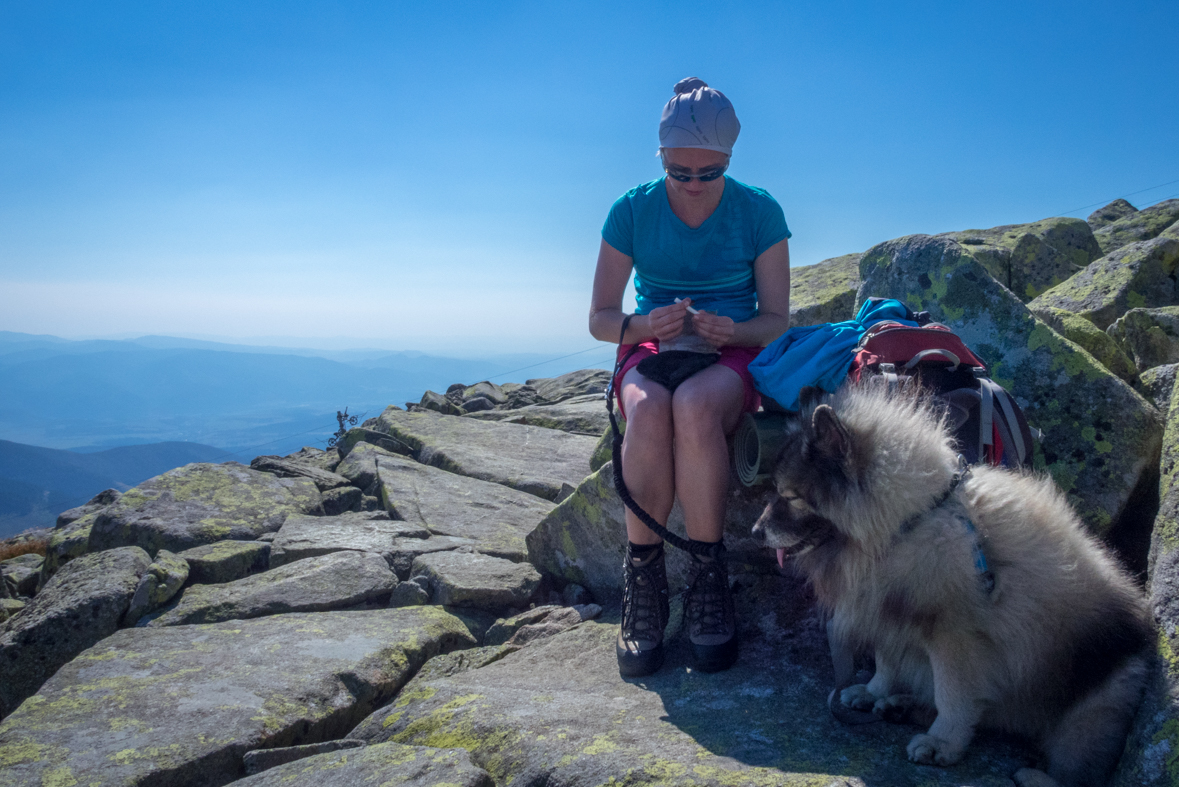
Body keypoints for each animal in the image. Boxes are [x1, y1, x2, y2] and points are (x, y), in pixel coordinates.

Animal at [754, 381, 1150, 787]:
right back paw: (900, 705)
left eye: (791, 497)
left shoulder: (953, 635)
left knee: (1076, 771)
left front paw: (942, 743)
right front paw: (874, 690)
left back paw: (1033, 776)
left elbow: (954, 696)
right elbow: (886, 663)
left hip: (1095, 708)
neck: (908, 523)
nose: (755, 531)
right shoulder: (890, 614)